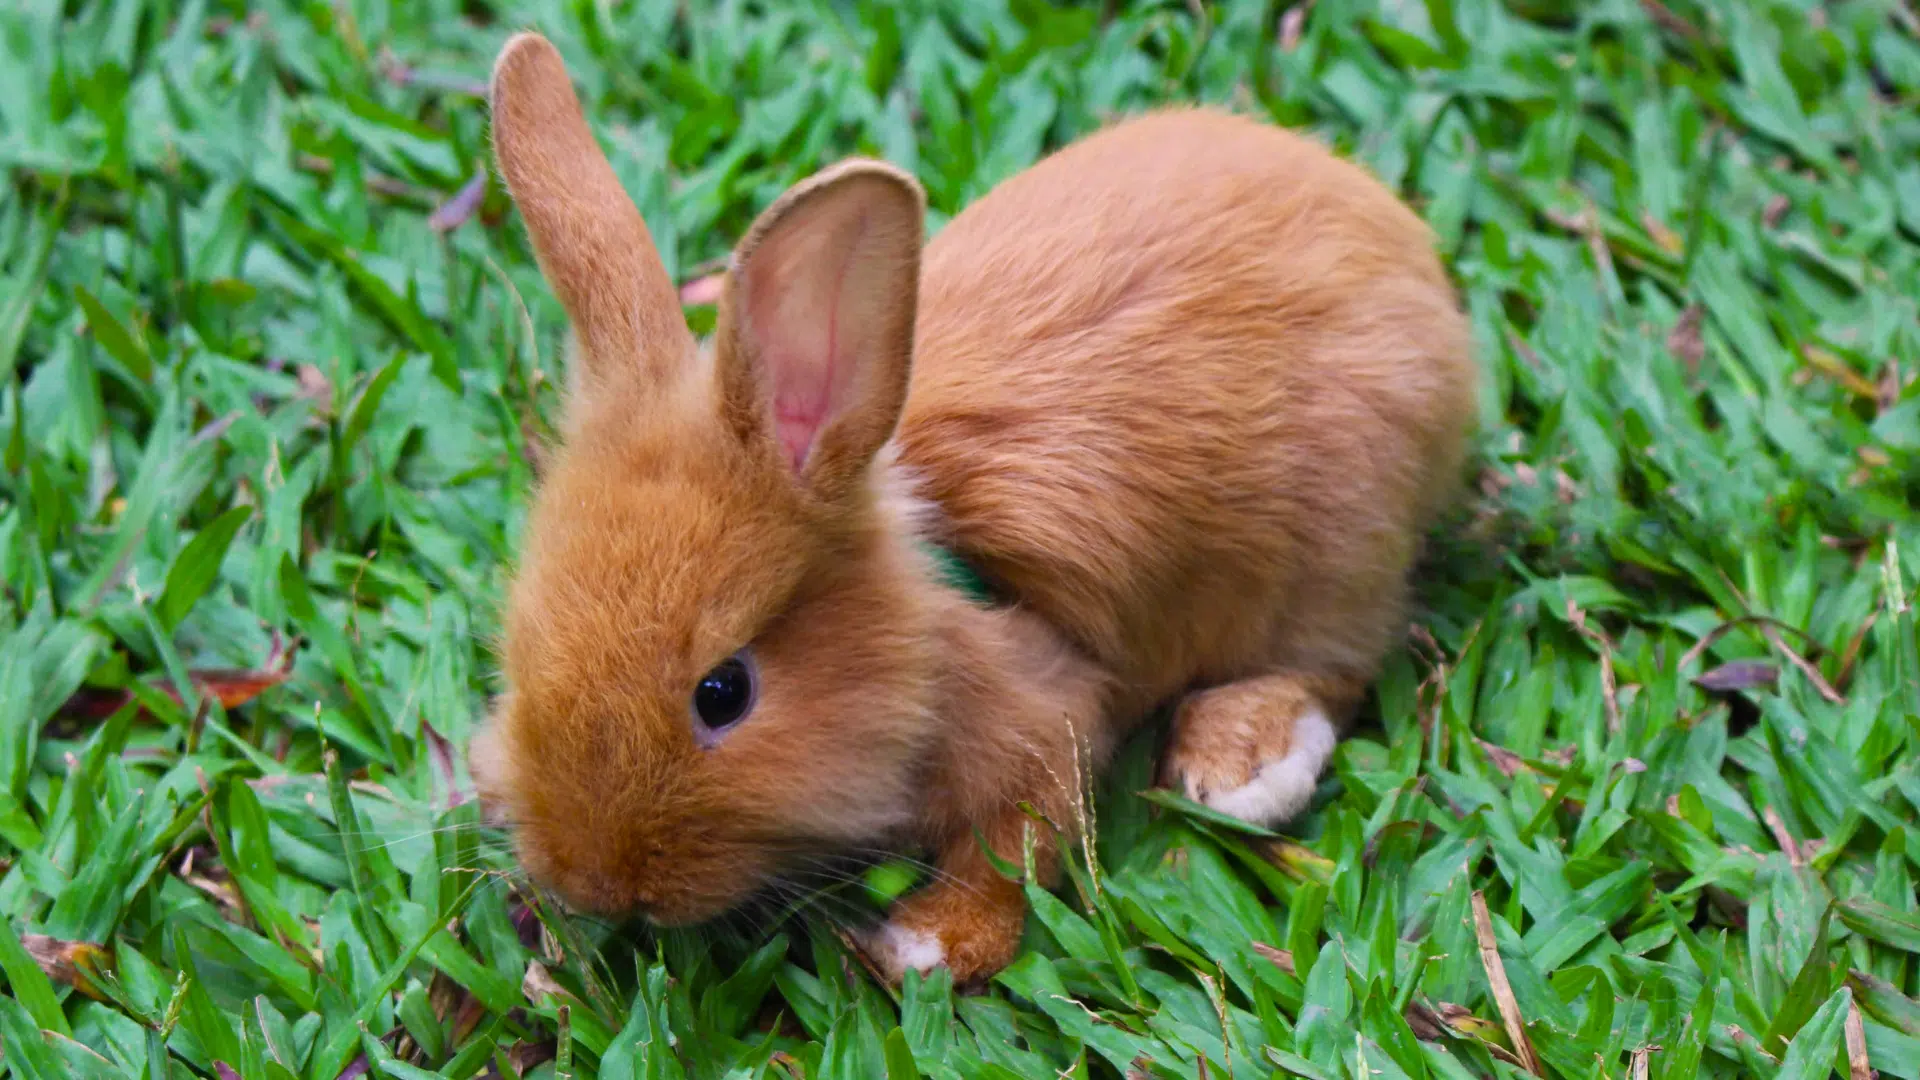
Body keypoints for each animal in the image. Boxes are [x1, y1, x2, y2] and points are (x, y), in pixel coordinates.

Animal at [468, 31, 1477, 988]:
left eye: (725, 693)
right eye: (519, 645)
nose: (592, 882)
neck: (927, 620)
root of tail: (1404, 251)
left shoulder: (1045, 724)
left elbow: (1012, 851)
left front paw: (922, 947)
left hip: (1336, 547)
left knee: (1333, 661)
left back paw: (1240, 767)